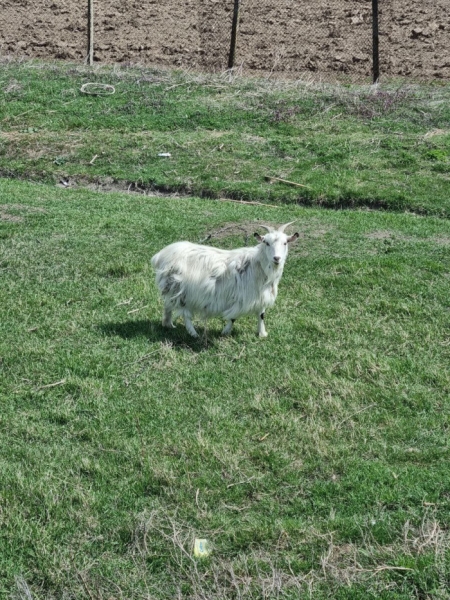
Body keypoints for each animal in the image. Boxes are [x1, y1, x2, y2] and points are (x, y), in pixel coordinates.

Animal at [151, 224, 298, 338]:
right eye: (266, 242)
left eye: (285, 243)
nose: (276, 258)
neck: (258, 265)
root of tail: (161, 255)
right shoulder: (241, 297)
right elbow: (233, 317)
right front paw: (225, 332)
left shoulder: (261, 295)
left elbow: (261, 315)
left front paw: (262, 334)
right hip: (181, 290)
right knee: (185, 314)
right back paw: (193, 334)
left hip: (172, 288)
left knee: (168, 306)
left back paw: (168, 325)